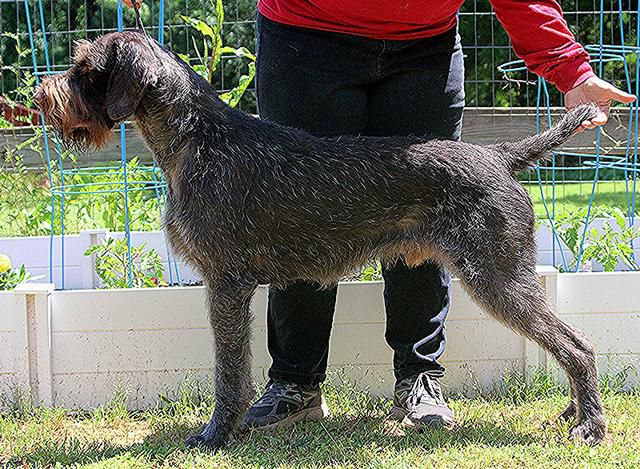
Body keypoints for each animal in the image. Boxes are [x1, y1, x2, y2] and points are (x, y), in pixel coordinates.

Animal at [35, 31, 604, 448]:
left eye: (85, 70)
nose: (39, 96)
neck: (195, 139)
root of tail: (499, 155)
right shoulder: (232, 286)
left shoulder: (225, 284)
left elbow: (228, 371)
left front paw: (217, 435)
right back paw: (573, 413)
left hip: (498, 279)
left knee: (577, 345)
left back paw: (590, 426)